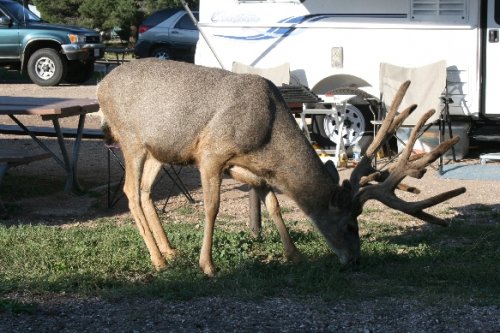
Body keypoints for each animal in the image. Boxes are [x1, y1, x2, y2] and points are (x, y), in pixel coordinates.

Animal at [97, 59, 464, 274]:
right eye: (349, 226)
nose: (356, 260)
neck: (267, 137)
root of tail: (101, 85)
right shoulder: (212, 152)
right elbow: (212, 207)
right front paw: (208, 265)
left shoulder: (245, 165)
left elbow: (272, 201)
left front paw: (294, 254)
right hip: (130, 137)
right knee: (130, 191)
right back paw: (158, 259)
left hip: (160, 150)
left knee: (145, 192)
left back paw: (170, 252)